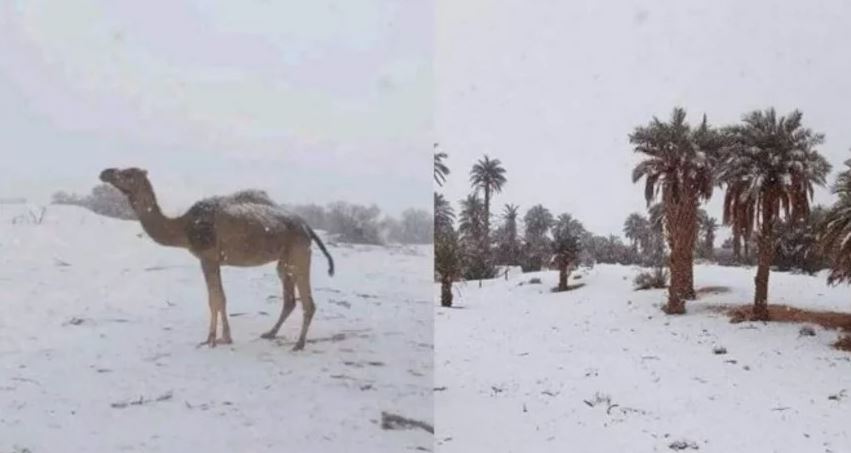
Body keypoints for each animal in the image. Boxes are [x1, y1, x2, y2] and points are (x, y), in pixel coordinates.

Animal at [100, 167, 336, 350]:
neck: (183, 227)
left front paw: (213, 339)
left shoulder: (208, 257)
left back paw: (299, 344)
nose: (105, 172)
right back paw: (270, 333)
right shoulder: (212, 260)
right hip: (284, 261)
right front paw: (221, 337)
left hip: (299, 253)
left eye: (128, 173)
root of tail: (307, 227)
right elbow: (218, 298)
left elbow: (215, 299)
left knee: (308, 302)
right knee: (289, 299)